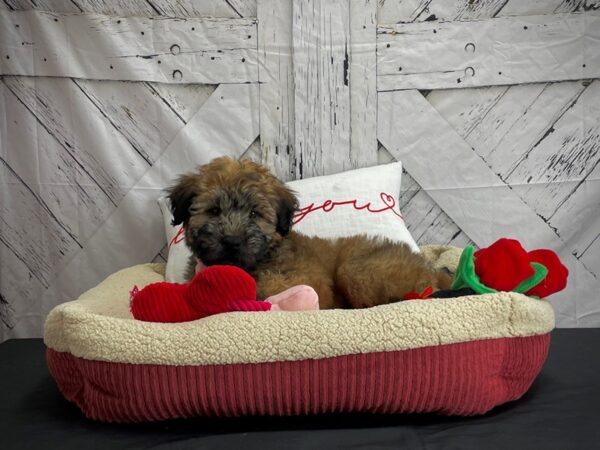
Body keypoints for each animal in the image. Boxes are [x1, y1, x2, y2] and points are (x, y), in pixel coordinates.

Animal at [168, 156, 450, 308]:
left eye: (254, 214)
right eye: (214, 211)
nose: (233, 240)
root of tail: (430, 269)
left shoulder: (309, 281)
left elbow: (268, 285)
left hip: (356, 270)